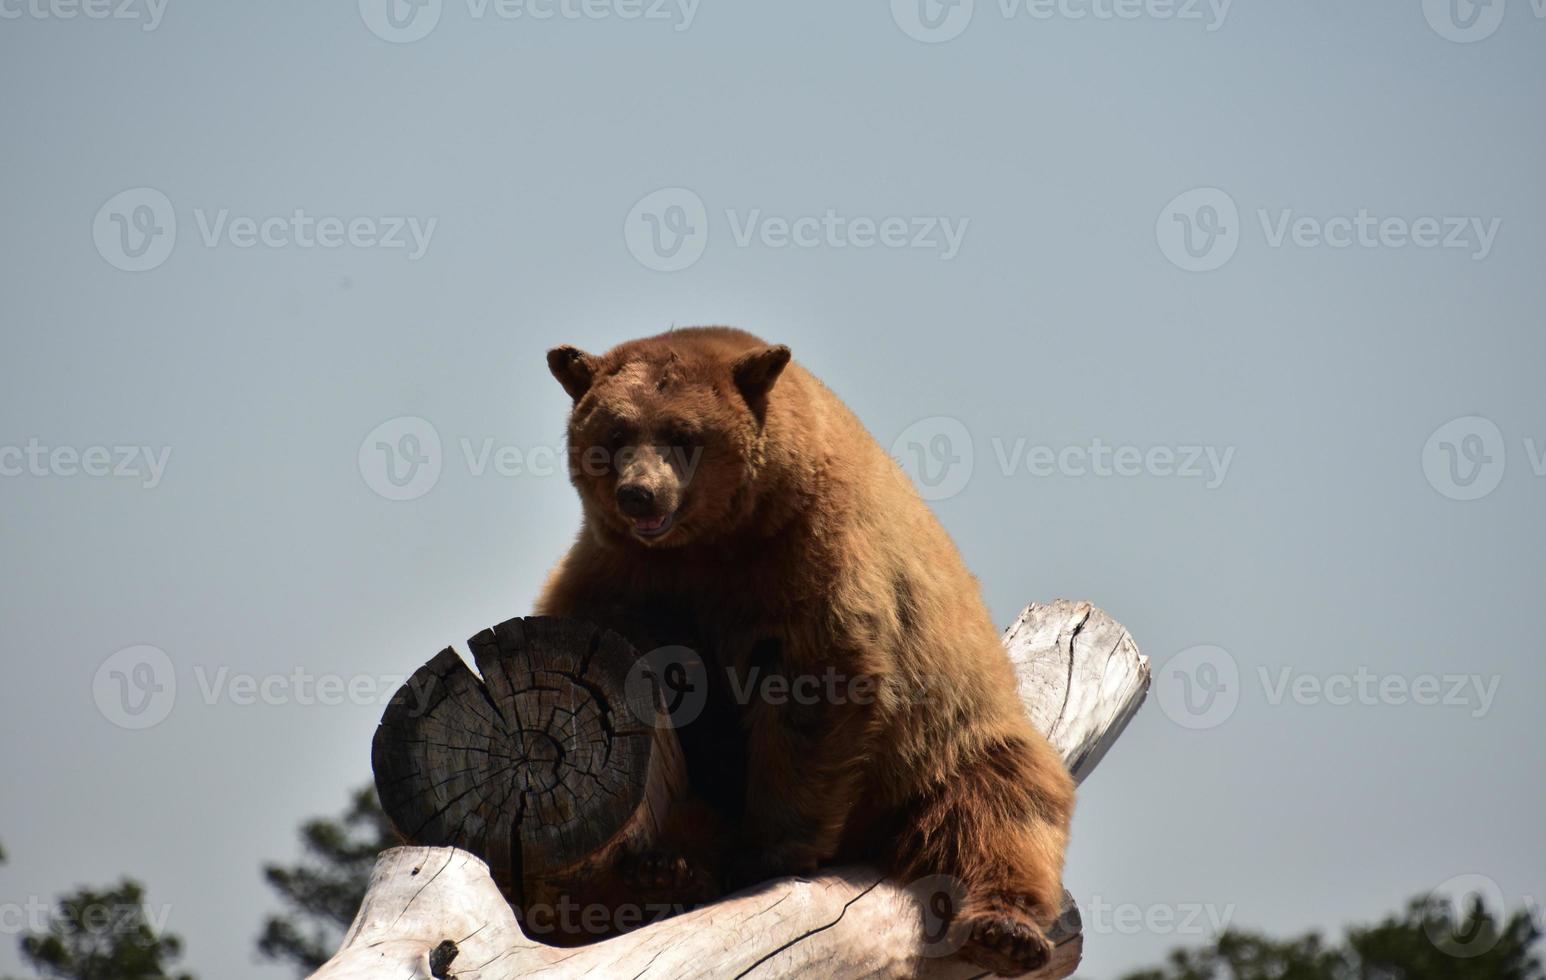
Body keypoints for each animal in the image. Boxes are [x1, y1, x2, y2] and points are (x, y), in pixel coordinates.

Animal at [538, 326, 1069, 970]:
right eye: (614, 434)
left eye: (682, 435)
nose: (638, 494)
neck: (714, 542)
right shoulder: (624, 574)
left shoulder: (808, 554)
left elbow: (815, 684)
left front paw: (770, 850)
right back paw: (663, 868)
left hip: (948, 742)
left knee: (1001, 806)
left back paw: (1006, 930)